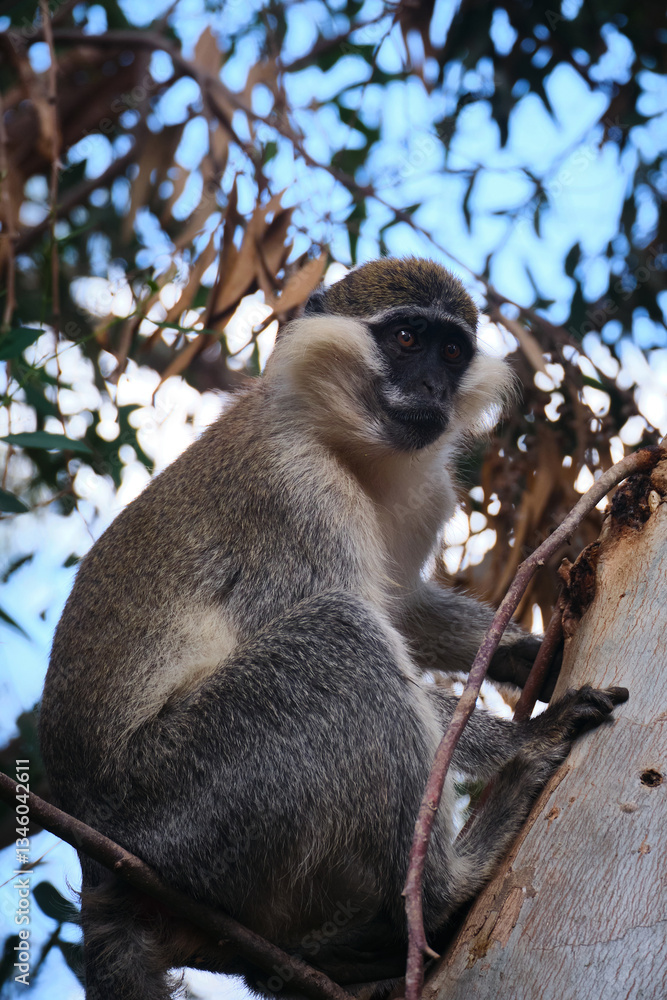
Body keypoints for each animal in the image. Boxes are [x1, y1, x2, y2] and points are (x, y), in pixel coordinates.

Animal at [39, 257, 627, 1000]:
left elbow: (404, 606)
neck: (347, 446)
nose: (431, 388)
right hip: (185, 805)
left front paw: (531, 658)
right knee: (339, 636)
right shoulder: (296, 495)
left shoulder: (423, 492)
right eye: (405, 338)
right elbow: (369, 633)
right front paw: (528, 734)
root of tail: (102, 873)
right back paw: (441, 891)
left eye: (452, 352)